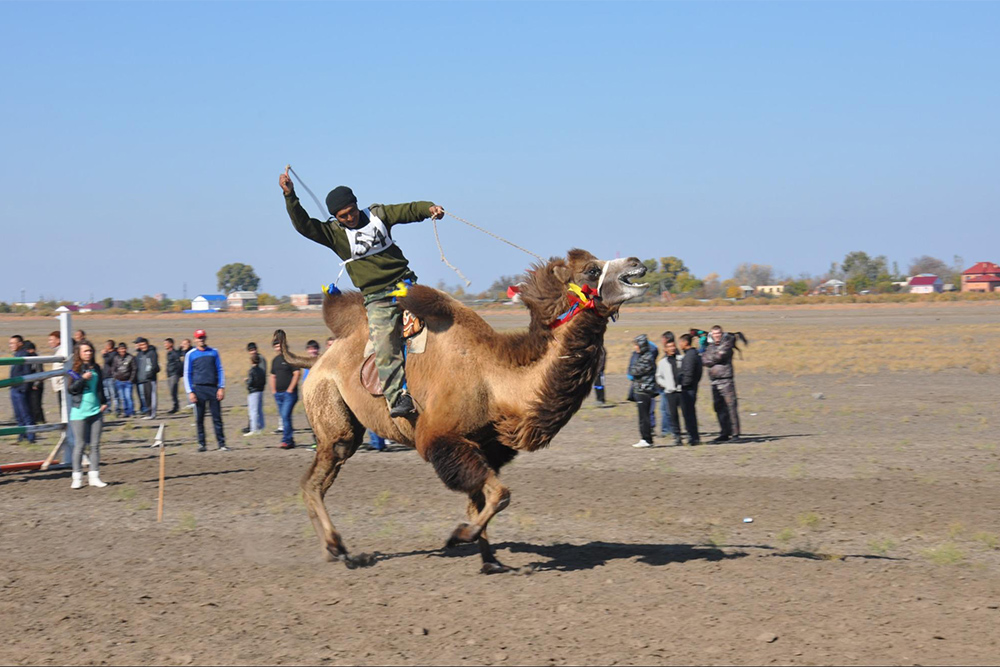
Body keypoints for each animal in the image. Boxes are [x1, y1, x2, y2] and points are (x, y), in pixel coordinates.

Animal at [274, 250, 648, 576]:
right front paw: (460, 536)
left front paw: (490, 561)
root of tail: (317, 361)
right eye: (591, 269)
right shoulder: (440, 438)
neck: (497, 381)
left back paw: (334, 550)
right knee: (313, 481)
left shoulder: (486, 447)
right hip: (332, 417)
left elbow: (480, 500)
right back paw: (340, 550)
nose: (636, 262)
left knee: (316, 483)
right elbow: (500, 495)